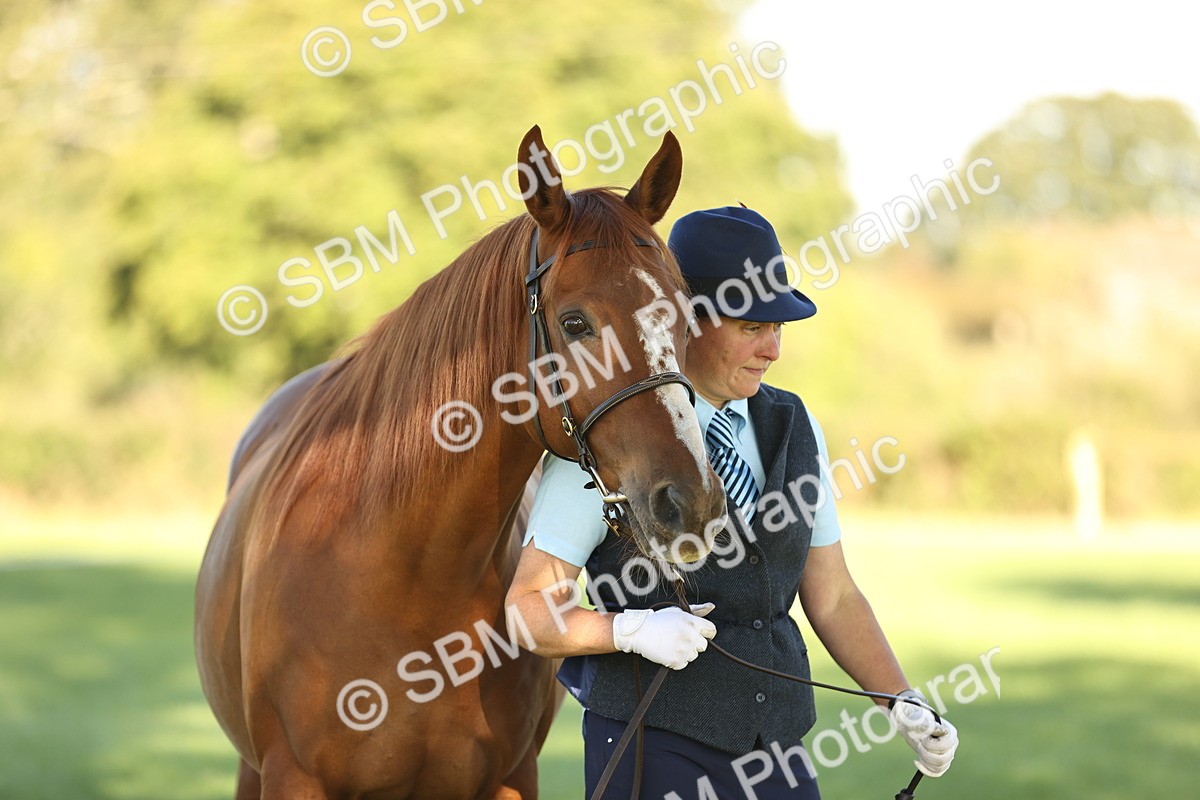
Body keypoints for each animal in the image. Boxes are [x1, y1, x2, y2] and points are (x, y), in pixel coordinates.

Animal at [195, 125, 726, 799]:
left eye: (684, 313)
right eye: (575, 322)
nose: (691, 501)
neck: (410, 576)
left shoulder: (510, 778)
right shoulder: (293, 778)